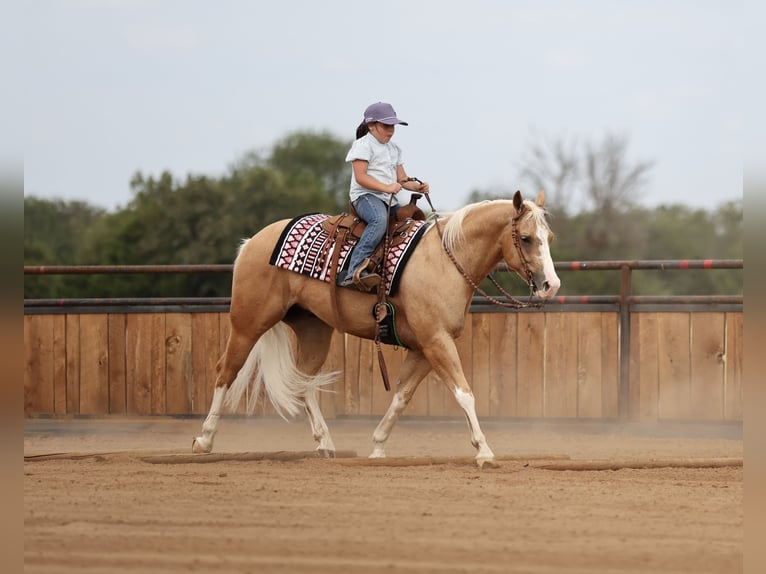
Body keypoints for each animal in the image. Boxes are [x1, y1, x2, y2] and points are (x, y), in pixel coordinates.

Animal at [192, 190, 561, 467]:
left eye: (549, 237)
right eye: (526, 238)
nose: (551, 285)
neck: (446, 260)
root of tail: (252, 242)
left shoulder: (423, 348)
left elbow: (401, 397)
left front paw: (378, 447)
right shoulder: (437, 342)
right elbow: (464, 393)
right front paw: (484, 450)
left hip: (314, 328)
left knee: (304, 383)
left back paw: (325, 443)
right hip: (248, 323)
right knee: (225, 371)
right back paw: (203, 440)